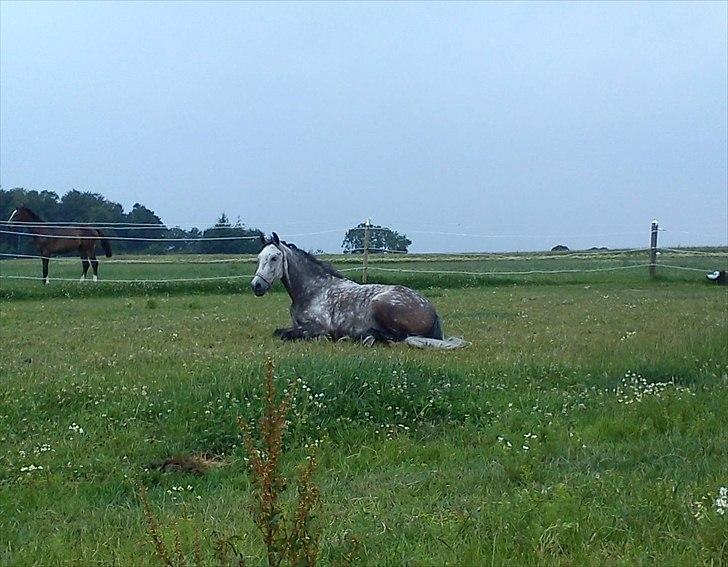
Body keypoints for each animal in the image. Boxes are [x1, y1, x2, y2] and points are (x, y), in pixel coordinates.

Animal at [250, 232, 466, 348]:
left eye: (274, 258)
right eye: (259, 258)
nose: (256, 286)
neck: (313, 290)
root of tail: (432, 311)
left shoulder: (319, 327)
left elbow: (284, 333)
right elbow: (281, 331)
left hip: (380, 304)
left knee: (397, 339)